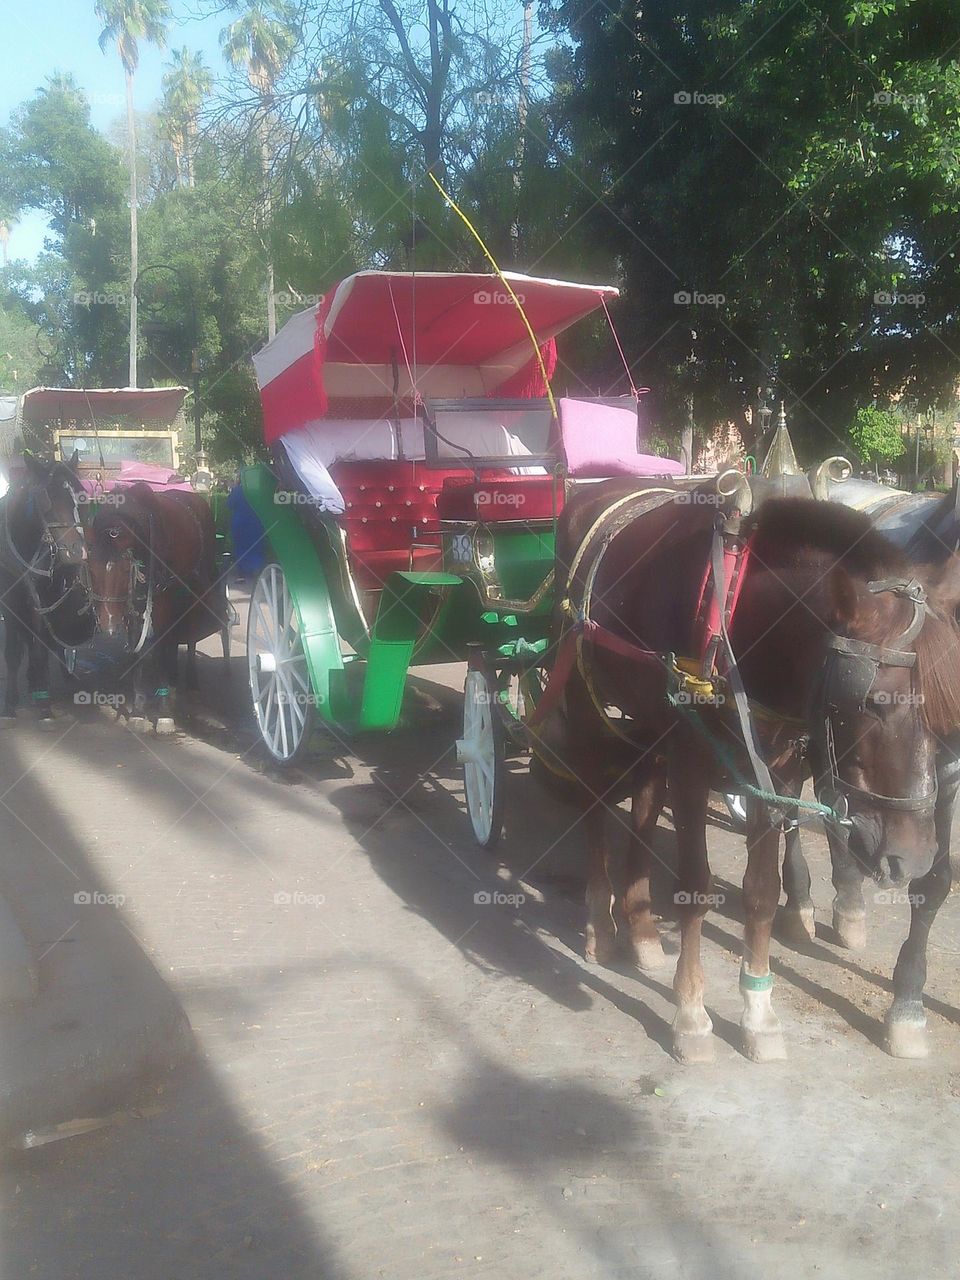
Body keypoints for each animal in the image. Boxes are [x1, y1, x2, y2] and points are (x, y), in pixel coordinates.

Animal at [85, 481, 229, 732]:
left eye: (125, 569)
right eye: (91, 569)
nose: (109, 624)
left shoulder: (162, 600)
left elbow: (161, 646)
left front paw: (163, 714)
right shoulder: (133, 604)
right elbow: (138, 650)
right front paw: (138, 710)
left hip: (193, 590)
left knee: (189, 634)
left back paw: (190, 684)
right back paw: (172, 679)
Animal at [535, 483, 960, 1064]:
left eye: (945, 710)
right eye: (872, 702)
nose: (913, 858)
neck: (738, 619)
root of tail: (592, 490)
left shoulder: (776, 774)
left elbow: (760, 892)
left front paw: (759, 1012)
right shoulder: (691, 766)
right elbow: (695, 886)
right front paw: (692, 1015)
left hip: (649, 723)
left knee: (644, 797)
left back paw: (642, 930)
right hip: (585, 700)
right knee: (596, 800)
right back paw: (600, 921)